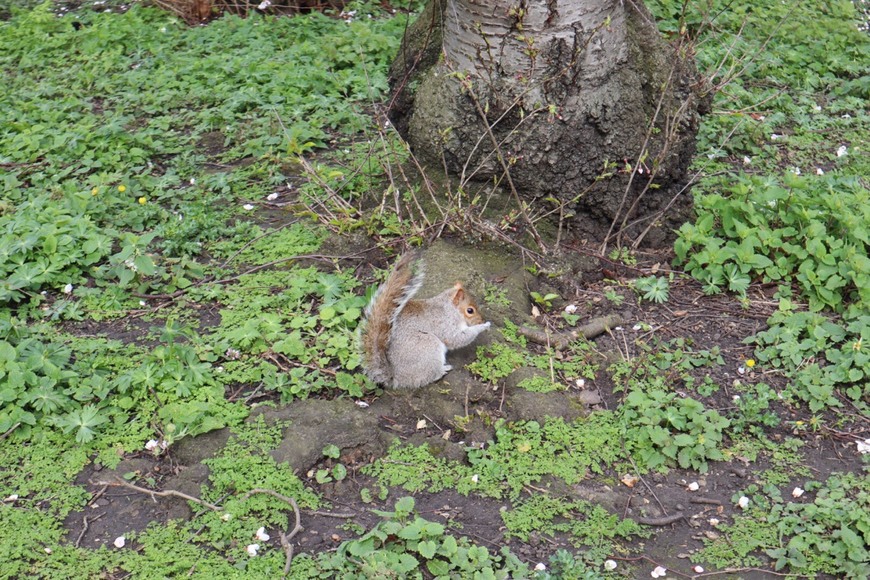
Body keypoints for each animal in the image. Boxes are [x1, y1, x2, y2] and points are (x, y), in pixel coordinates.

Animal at [362, 251, 494, 388]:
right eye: (470, 310)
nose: (481, 320)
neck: (451, 309)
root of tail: (397, 377)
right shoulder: (445, 324)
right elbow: (457, 338)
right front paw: (483, 326)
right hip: (428, 347)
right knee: (427, 377)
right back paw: (442, 370)